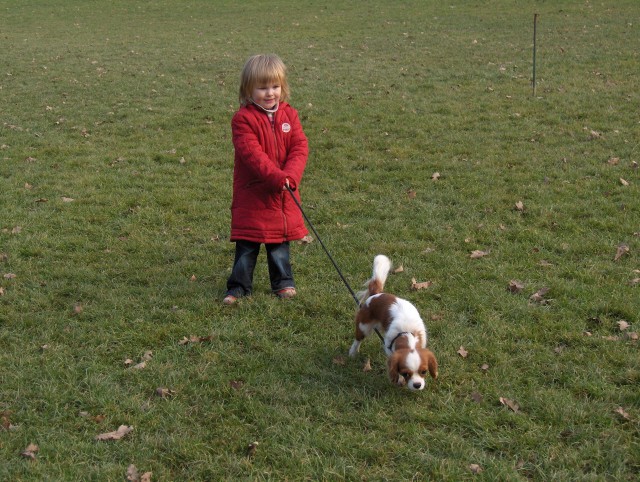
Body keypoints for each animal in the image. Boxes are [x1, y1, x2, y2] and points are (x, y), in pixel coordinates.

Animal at [348, 254, 438, 390]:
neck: (407, 334)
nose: (417, 385)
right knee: (358, 340)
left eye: (424, 372)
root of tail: (376, 294)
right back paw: (353, 353)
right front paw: (399, 379)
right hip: (363, 326)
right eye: (405, 373)